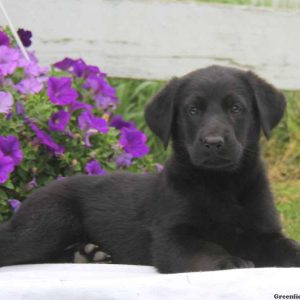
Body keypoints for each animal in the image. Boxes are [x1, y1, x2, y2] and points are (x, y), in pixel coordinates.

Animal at [0, 65, 300, 272]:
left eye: (236, 108)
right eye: (192, 110)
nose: (213, 143)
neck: (221, 184)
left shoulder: (266, 234)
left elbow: (289, 248)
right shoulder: (171, 237)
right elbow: (206, 248)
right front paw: (230, 262)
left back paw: (85, 255)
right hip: (50, 220)